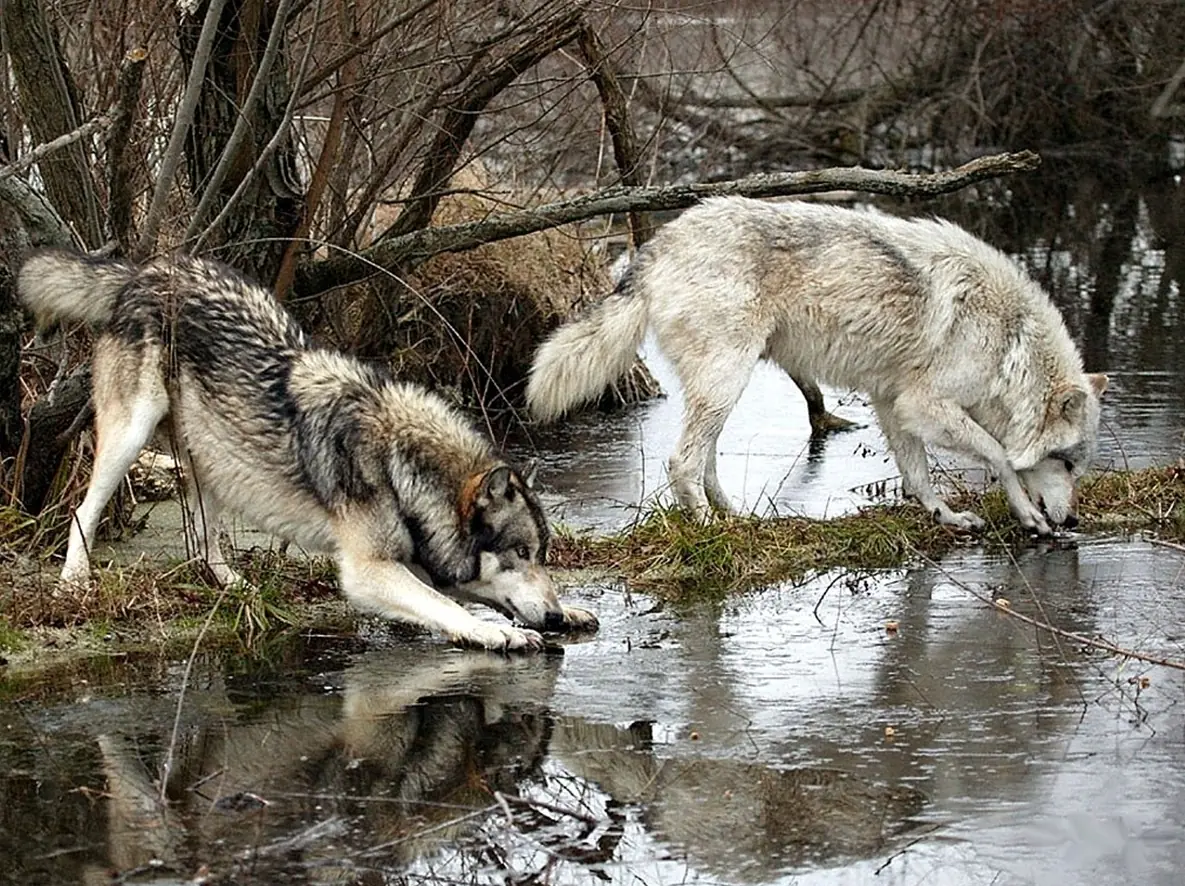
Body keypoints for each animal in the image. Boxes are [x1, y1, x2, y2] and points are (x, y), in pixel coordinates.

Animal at [18, 250, 598, 651]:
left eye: (543, 556)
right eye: (520, 553)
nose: (550, 618)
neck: (401, 467)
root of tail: (145, 270)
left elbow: (459, 593)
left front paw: (566, 612)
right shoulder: (367, 570)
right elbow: (444, 604)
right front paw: (498, 633)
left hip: (214, 459)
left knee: (203, 542)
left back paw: (238, 587)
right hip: (131, 435)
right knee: (82, 512)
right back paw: (75, 583)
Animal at [527, 197, 1108, 535]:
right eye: (1067, 464)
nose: (1075, 518)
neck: (1011, 345)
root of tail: (657, 245)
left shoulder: (894, 404)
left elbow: (917, 474)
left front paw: (945, 515)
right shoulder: (925, 403)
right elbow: (1000, 455)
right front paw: (1028, 516)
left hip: (721, 389)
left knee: (706, 459)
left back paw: (733, 515)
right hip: (727, 380)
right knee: (681, 462)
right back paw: (709, 527)